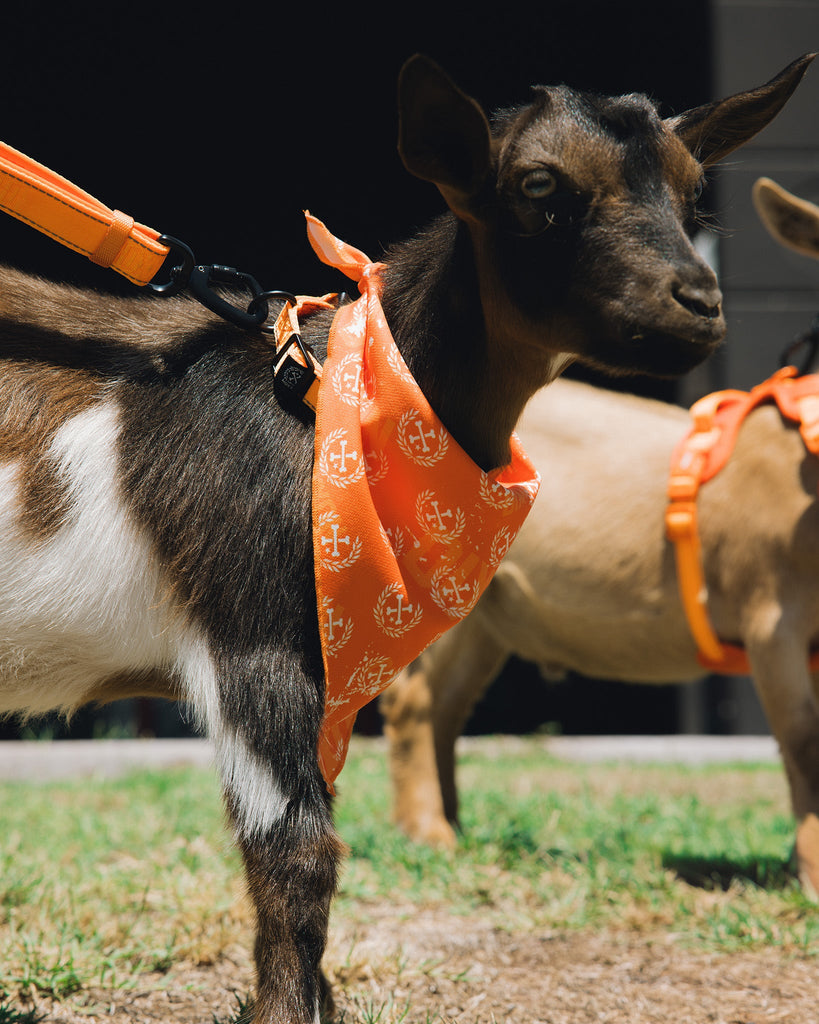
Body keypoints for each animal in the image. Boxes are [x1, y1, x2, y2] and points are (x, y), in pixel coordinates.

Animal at [382, 174, 819, 897]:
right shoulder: (769, 612)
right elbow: (803, 738)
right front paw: (810, 876)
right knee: (412, 700)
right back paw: (428, 834)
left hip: (492, 611)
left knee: (448, 703)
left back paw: (455, 825)